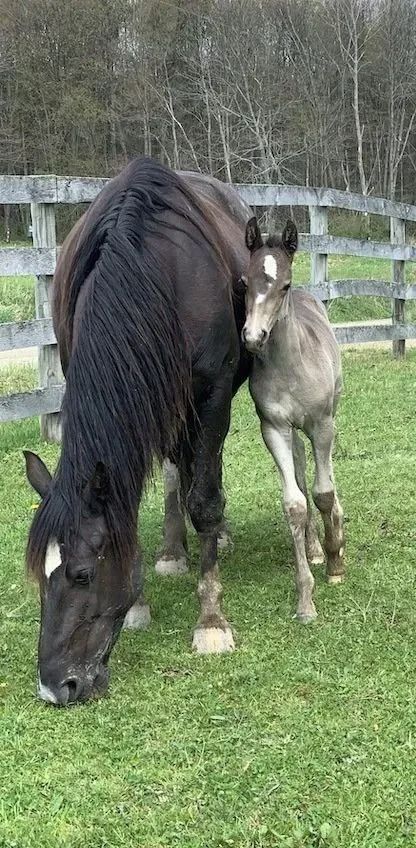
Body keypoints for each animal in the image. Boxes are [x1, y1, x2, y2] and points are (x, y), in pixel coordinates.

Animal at [24, 158, 251, 706]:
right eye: (40, 577)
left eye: (82, 575)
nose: (54, 687)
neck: (152, 270)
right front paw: (144, 599)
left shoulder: (213, 395)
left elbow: (205, 498)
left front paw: (211, 620)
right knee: (175, 467)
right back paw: (173, 550)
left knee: (204, 472)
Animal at [241, 216, 345, 622]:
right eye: (244, 282)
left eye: (283, 285)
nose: (253, 337)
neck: (289, 365)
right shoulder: (274, 429)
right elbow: (296, 503)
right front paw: (305, 601)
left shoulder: (322, 424)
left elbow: (324, 493)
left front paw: (335, 562)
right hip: (296, 433)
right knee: (301, 471)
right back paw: (314, 548)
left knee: (327, 477)